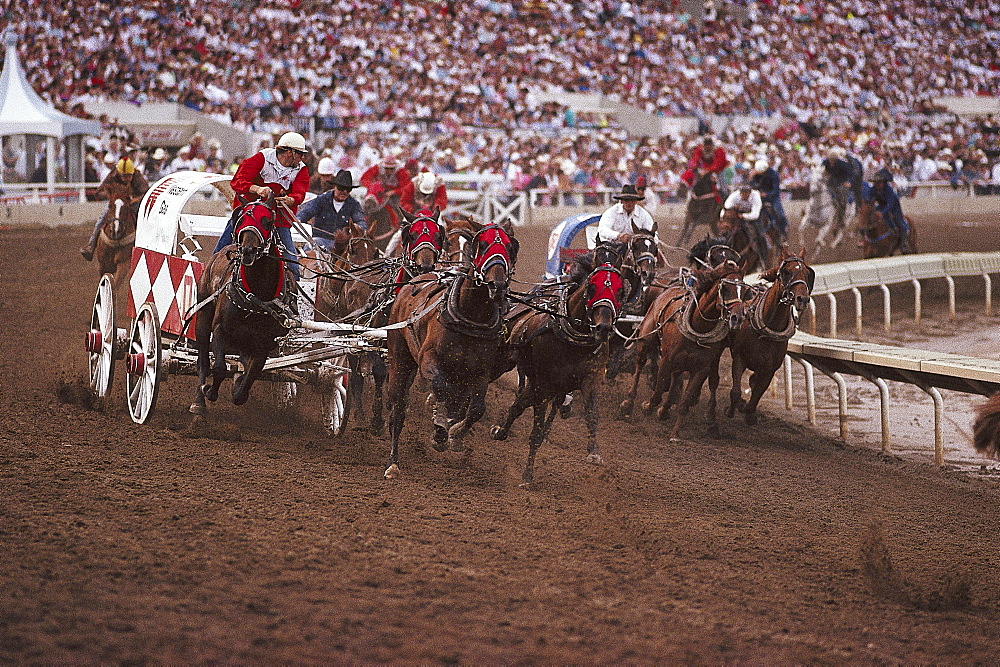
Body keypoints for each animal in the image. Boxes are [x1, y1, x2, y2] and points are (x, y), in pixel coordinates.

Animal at [188, 198, 294, 414]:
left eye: (268, 221)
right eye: (241, 219)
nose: (248, 251)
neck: (257, 296)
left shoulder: (264, 343)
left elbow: (250, 377)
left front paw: (238, 387)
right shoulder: (220, 330)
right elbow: (219, 368)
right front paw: (209, 391)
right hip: (203, 318)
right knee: (203, 362)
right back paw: (198, 402)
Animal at [382, 222, 520, 478]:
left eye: (509, 247)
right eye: (483, 244)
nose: (497, 285)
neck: (470, 314)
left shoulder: (480, 373)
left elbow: (476, 409)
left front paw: (455, 431)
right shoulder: (429, 361)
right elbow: (441, 388)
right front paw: (439, 430)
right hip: (400, 358)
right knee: (398, 408)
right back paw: (393, 462)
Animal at [490, 245, 628, 486]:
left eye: (620, 291)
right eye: (592, 286)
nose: (603, 328)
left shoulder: (589, 379)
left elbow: (592, 414)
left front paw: (594, 453)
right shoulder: (544, 385)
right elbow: (535, 432)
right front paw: (527, 475)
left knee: (519, 404)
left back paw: (503, 430)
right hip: (510, 365)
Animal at [620, 258, 748, 440]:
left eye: (744, 290)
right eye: (725, 288)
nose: (737, 318)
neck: (698, 326)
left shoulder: (700, 369)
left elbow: (684, 401)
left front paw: (675, 433)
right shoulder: (666, 360)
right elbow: (659, 389)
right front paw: (648, 406)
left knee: (676, 379)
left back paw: (665, 410)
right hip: (646, 338)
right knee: (640, 364)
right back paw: (628, 402)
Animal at [728, 249, 812, 428]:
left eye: (808, 273)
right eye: (787, 272)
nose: (802, 298)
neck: (767, 328)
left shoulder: (769, 369)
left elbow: (756, 395)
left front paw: (749, 413)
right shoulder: (739, 357)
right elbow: (736, 391)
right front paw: (731, 409)